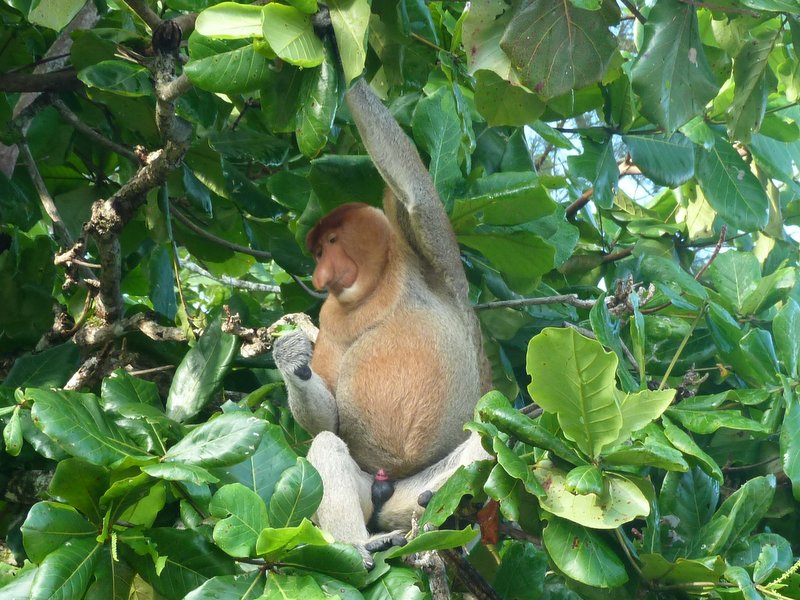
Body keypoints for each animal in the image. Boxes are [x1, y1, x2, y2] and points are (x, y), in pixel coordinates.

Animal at [273, 77, 490, 557]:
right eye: (317, 252)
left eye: (332, 242)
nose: (320, 277)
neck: (377, 284)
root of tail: (385, 486)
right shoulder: (330, 315)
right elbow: (329, 422)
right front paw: (289, 356)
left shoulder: (432, 258)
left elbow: (416, 197)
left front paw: (342, 61)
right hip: (365, 485)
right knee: (327, 446)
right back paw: (360, 545)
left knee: (489, 438)